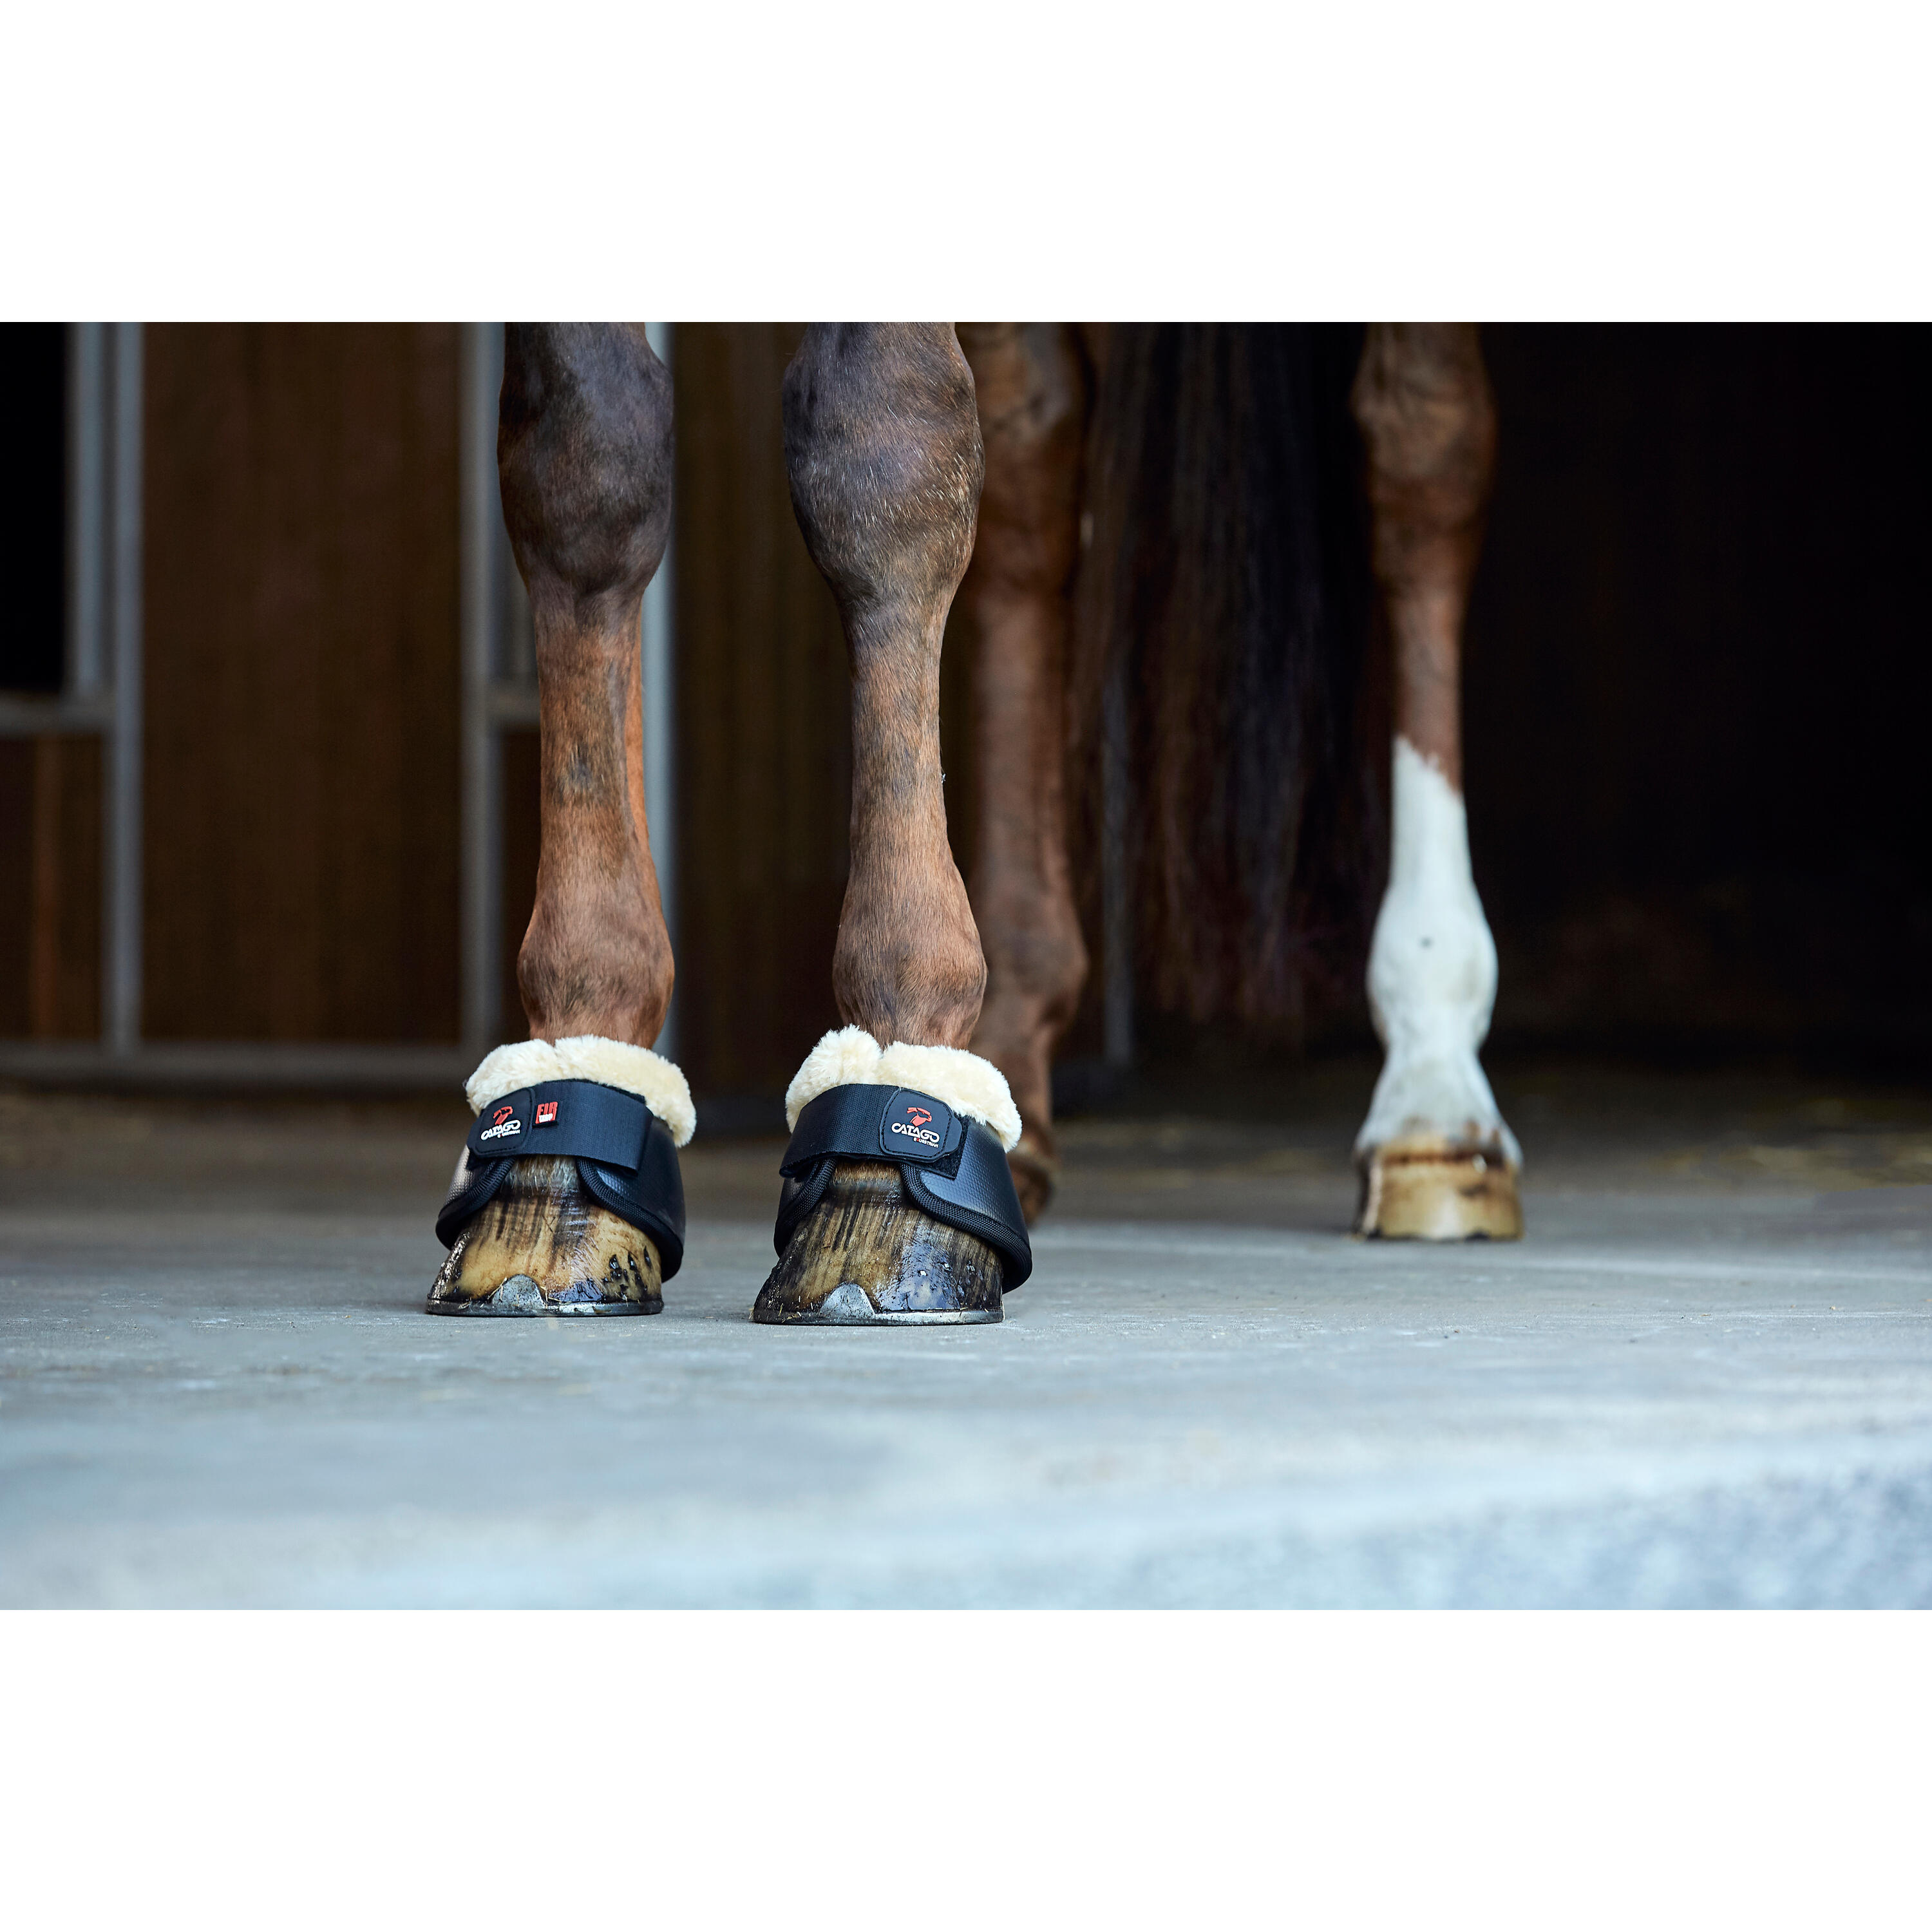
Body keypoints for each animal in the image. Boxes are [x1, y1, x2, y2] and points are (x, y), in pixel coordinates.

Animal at [426, 323, 1521, 1327]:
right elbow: (587, 458)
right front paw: (569, 1111)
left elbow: (885, 447)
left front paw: (886, 1165)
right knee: (1033, 471)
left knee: (1422, 449)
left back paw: (1434, 1086)